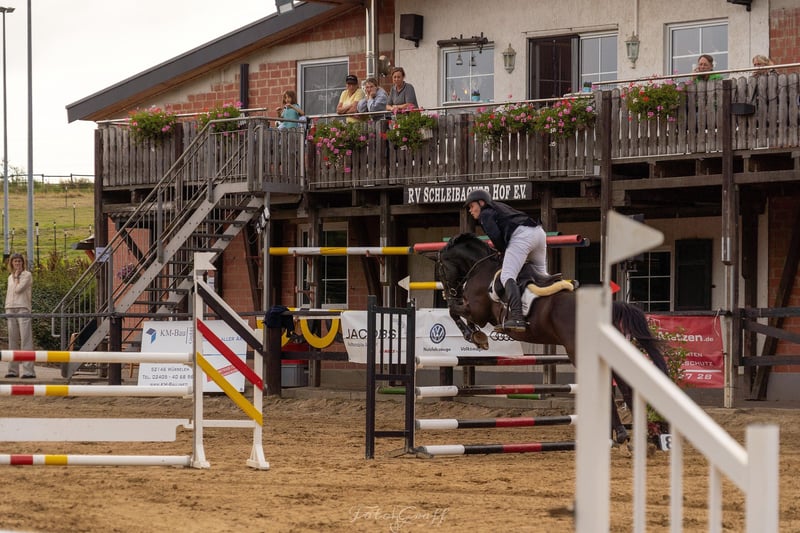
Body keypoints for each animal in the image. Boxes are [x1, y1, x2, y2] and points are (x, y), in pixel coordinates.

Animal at [434, 232, 669, 444]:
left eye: (442, 269)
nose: (449, 292)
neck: (481, 269)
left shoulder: (478, 311)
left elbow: (454, 311)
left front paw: (475, 336)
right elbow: (455, 312)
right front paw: (476, 335)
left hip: (578, 350)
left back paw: (622, 434)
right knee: (624, 382)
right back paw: (641, 433)